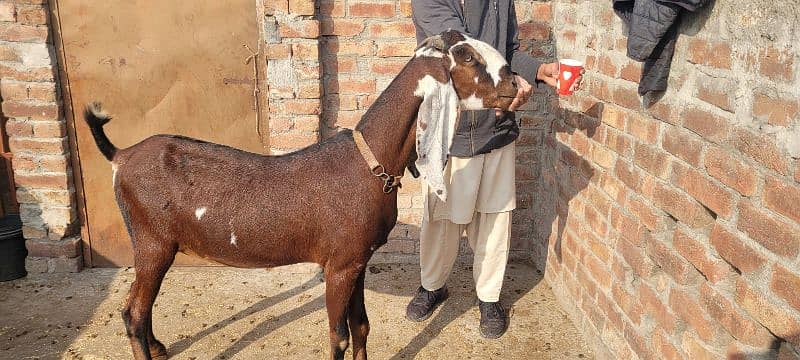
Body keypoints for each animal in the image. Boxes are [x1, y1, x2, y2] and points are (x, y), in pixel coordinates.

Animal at [84, 31, 516, 360]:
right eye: (467, 56)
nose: (514, 82)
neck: (367, 160)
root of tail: (121, 156)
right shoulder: (338, 266)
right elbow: (340, 336)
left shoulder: (356, 260)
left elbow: (362, 326)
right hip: (151, 241)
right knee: (133, 313)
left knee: (140, 309)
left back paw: (159, 347)